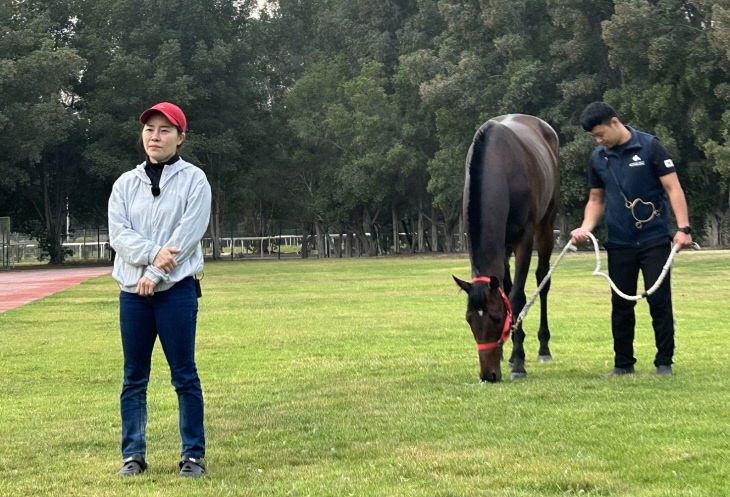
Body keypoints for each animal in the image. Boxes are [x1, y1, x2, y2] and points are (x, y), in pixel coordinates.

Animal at [452, 114, 560, 382]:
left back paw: (543, 348)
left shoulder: (524, 238)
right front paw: (511, 355)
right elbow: (508, 292)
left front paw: (519, 362)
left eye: (496, 318)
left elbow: (517, 297)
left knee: (543, 280)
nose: (488, 375)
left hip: (546, 224)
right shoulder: (501, 245)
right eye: (469, 320)